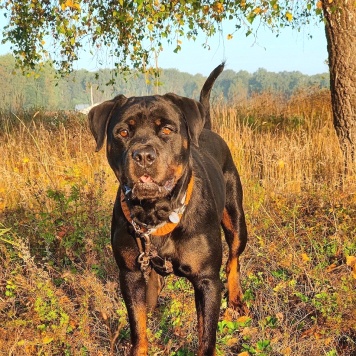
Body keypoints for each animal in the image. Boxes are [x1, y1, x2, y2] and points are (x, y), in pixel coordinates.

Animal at [88, 64, 248, 356]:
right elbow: (138, 327)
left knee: (233, 259)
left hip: (237, 221)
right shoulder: (130, 275)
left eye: (166, 130)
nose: (143, 155)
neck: (156, 212)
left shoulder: (207, 280)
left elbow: (206, 336)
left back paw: (236, 299)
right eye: (122, 132)